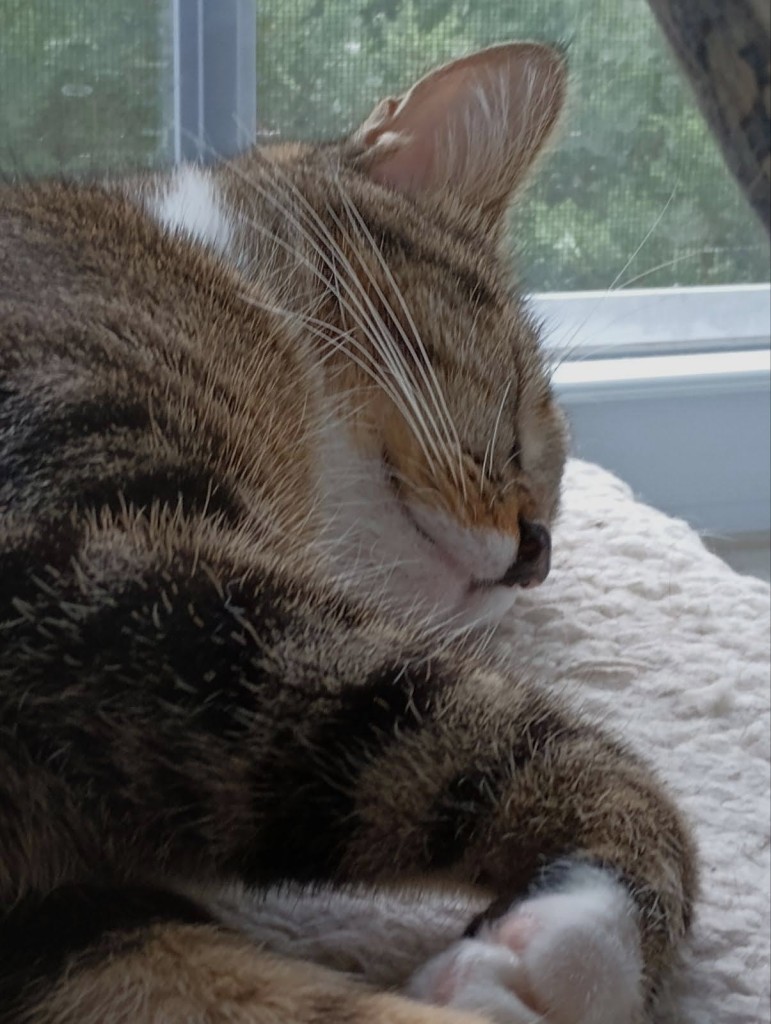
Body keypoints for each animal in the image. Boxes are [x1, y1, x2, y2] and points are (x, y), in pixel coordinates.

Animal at [0, 44, 696, 1024]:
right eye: (520, 414)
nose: (537, 554)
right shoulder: (110, 577)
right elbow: (503, 733)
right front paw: (568, 947)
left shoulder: (49, 920)